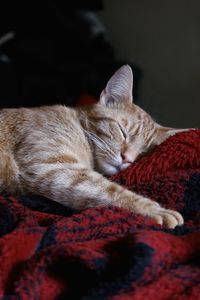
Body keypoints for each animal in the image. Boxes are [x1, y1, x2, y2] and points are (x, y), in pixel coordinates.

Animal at [0, 65, 186, 227]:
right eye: (122, 131)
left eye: (143, 152)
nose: (127, 159)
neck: (78, 125)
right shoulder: (53, 167)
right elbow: (110, 190)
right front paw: (154, 210)